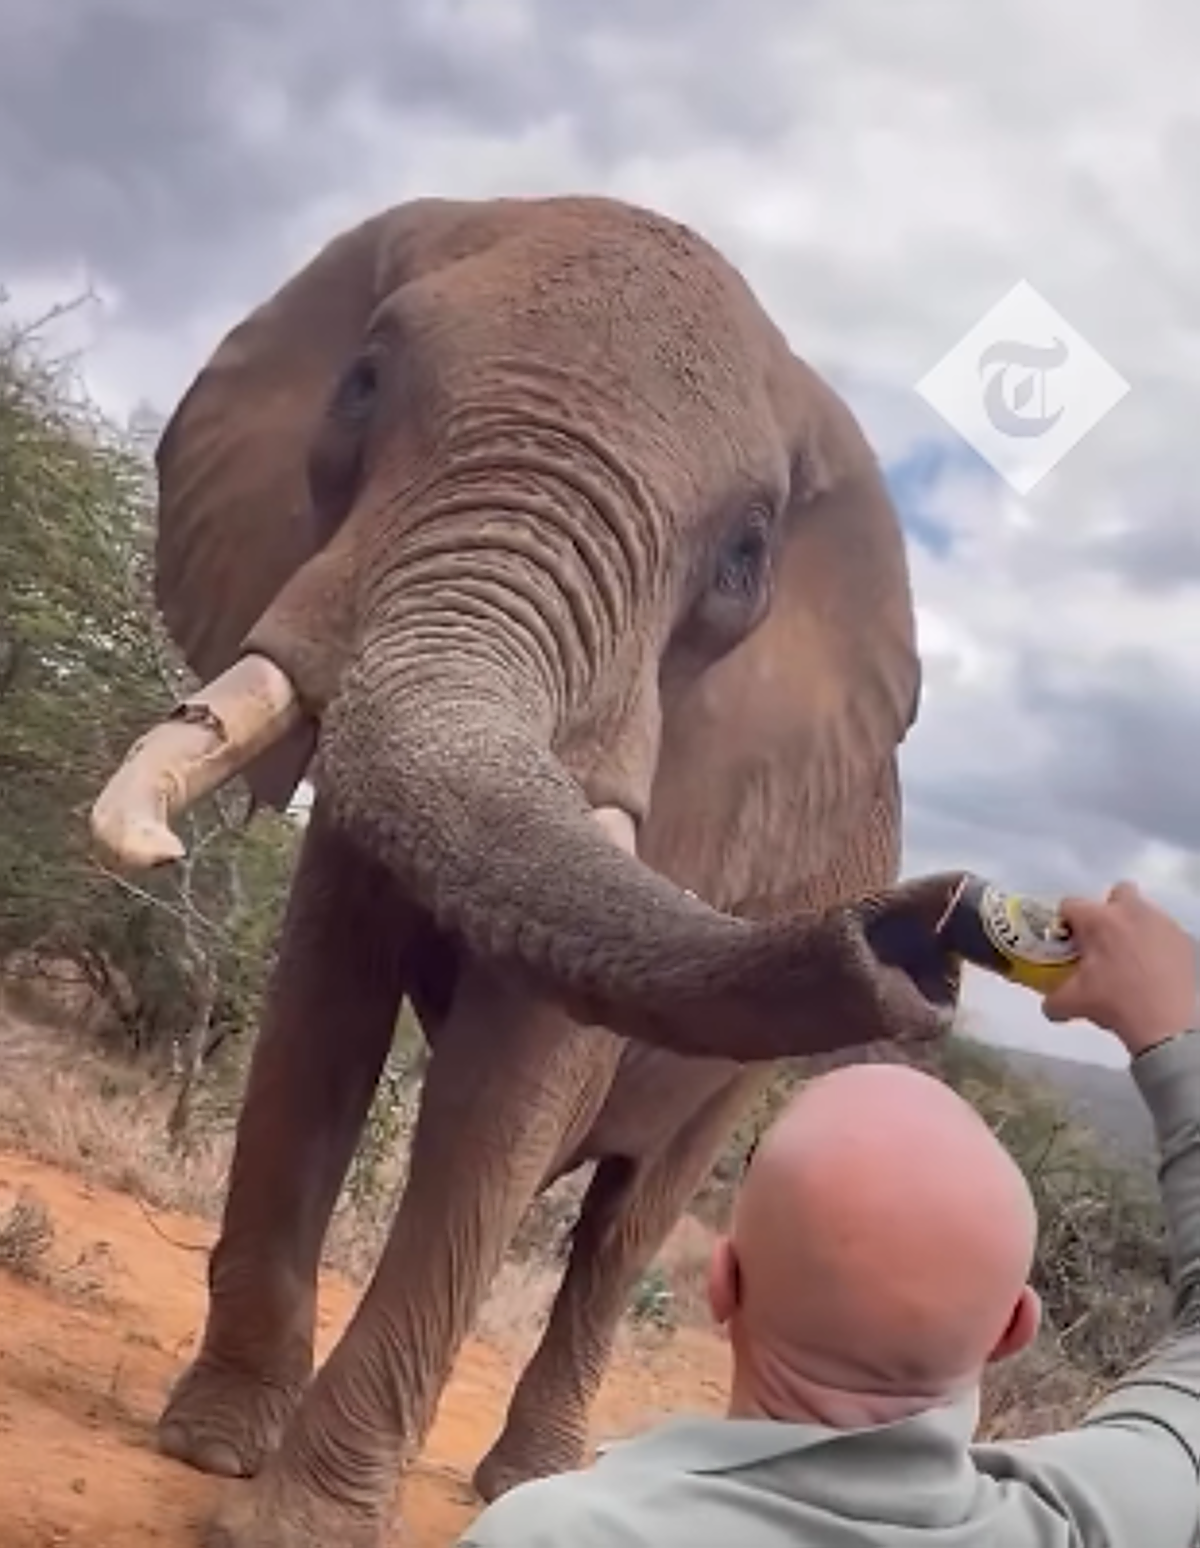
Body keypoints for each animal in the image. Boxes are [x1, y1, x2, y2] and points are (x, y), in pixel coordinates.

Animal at [89, 193, 965, 1548]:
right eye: (361, 384)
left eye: (745, 555)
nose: (927, 936)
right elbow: (318, 1021)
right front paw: (212, 1448)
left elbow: (511, 1087)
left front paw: (298, 1525)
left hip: (744, 1086)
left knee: (629, 1219)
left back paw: (532, 1481)